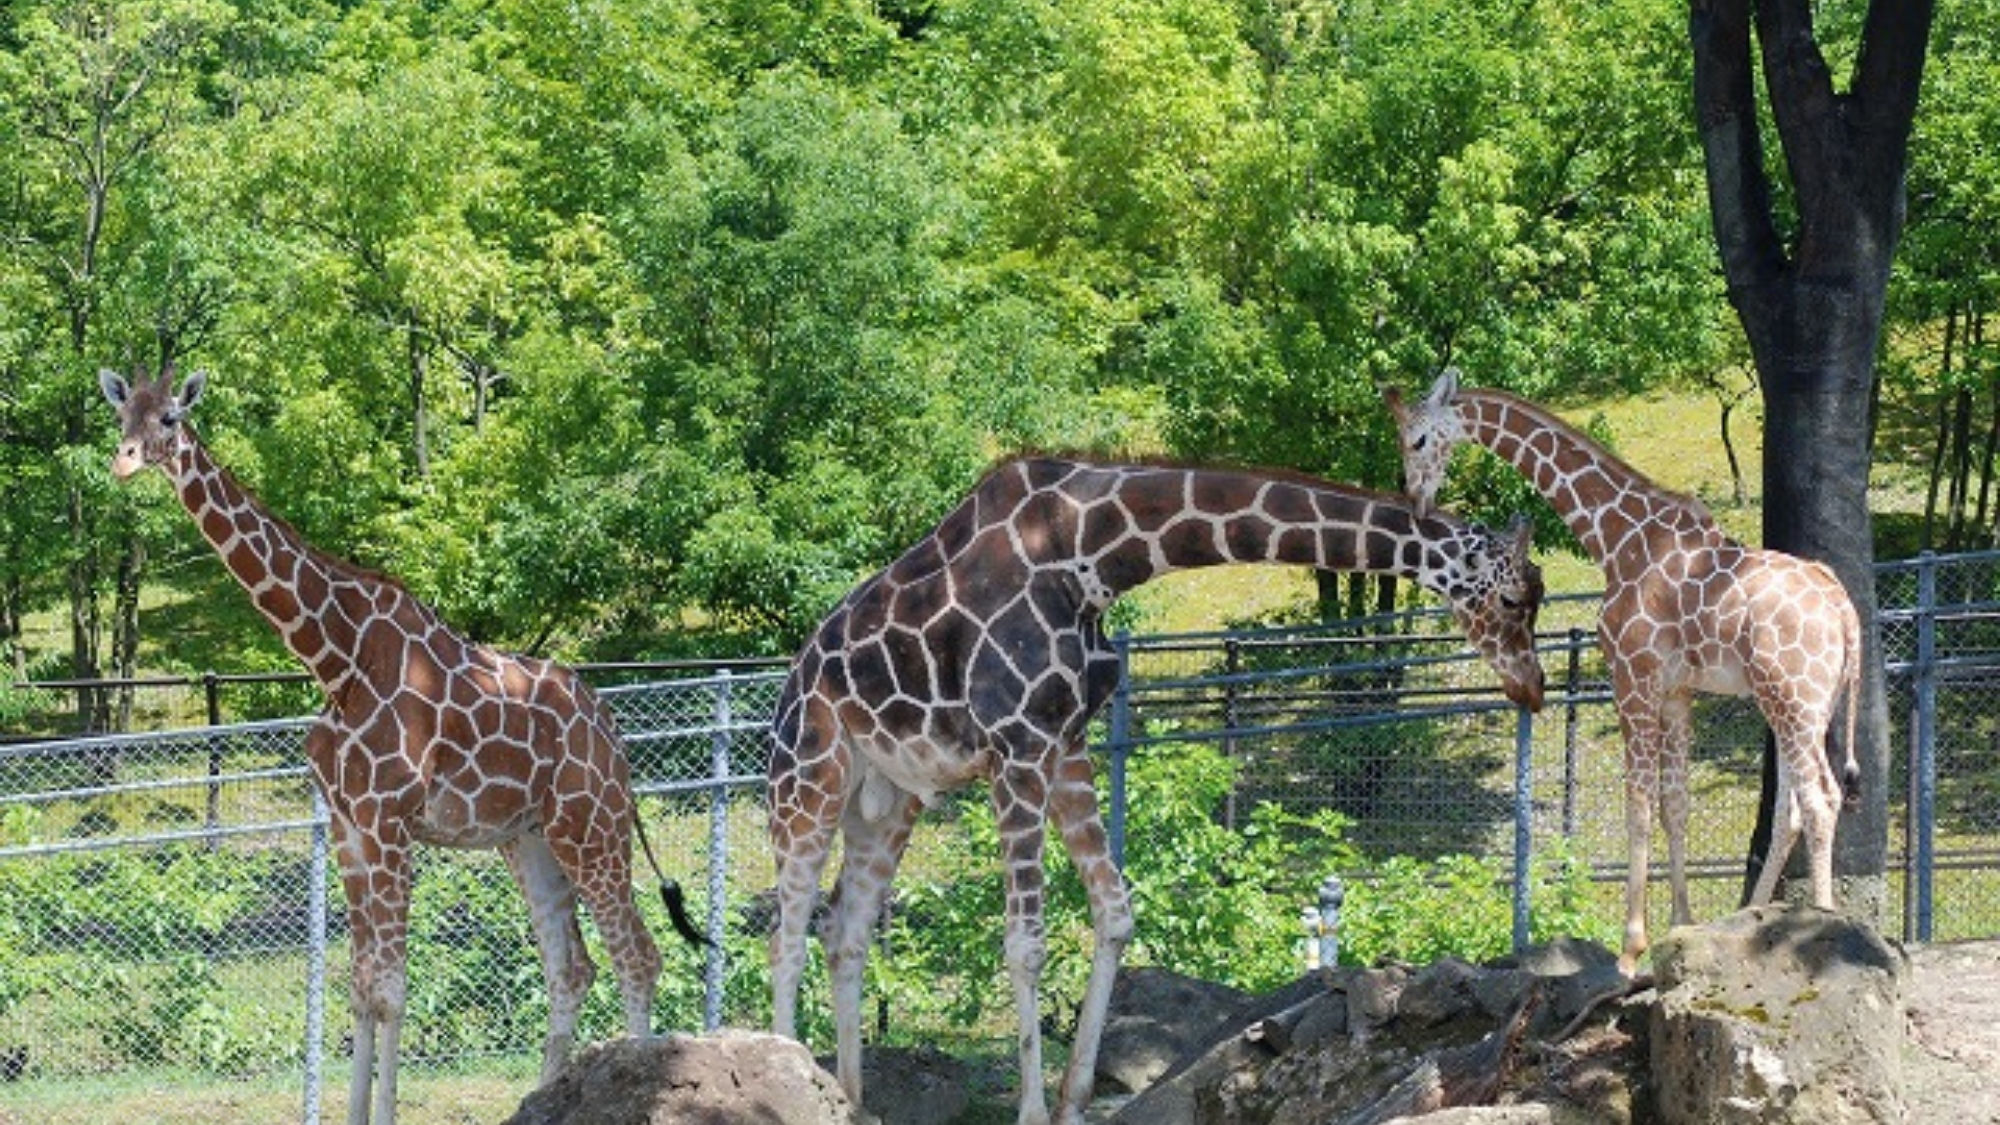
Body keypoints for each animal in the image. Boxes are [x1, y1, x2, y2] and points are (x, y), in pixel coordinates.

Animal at [103, 366, 696, 1120]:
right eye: (123, 412)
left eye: (171, 418)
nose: (124, 460)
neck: (334, 657)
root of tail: (612, 731)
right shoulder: (350, 826)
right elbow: (360, 985)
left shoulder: (389, 822)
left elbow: (391, 989)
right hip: (529, 839)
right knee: (571, 967)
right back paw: (543, 1097)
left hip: (590, 824)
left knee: (636, 955)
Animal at [764, 456, 1544, 1120]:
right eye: (1513, 596)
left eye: (1537, 595)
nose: (1532, 688)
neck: (1091, 556)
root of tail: (791, 681)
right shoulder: (1017, 746)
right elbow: (1026, 942)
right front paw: (1033, 1110)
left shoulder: (1067, 744)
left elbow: (1114, 912)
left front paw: (1074, 1102)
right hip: (808, 777)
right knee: (787, 932)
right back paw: (789, 1074)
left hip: (890, 798)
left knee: (844, 929)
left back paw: (851, 1100)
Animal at [1384, 370, 1864, 972]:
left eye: (1418, 439)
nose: (1417, 503)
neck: (1615, 535)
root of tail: (1844, 610)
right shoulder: (1678, 690)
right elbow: (1674, 804)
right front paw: (1681, 928)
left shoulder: (1631, 676)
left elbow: (1638, 803)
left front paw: (1630, 951)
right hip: (1802, 704)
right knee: (1793, 808)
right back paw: (1751, 919)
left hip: (1793, 696)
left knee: (1821, 798)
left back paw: (1824, 924)